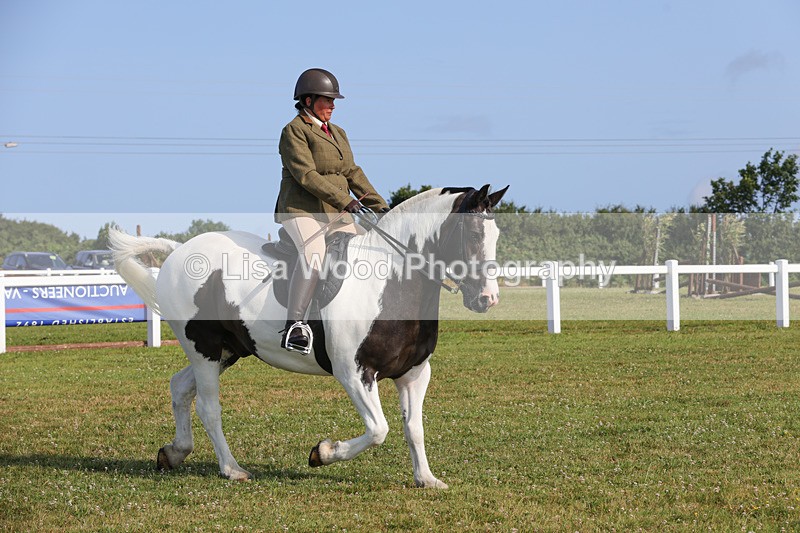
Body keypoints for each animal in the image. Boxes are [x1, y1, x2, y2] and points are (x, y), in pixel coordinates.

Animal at [108, 184, 508, 488]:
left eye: (497, 235)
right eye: (474, 235)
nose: (487, 299)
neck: (392, 281)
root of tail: (179, 251)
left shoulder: (414, 373)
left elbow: (414, 428)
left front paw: (426, 479)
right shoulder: (355, 373)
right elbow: (379, 428)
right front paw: (323, 452)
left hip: (227, 350)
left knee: (180, 387)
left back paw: (173, 453)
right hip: (203, 348)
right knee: (208, 406)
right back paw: (232, 469)